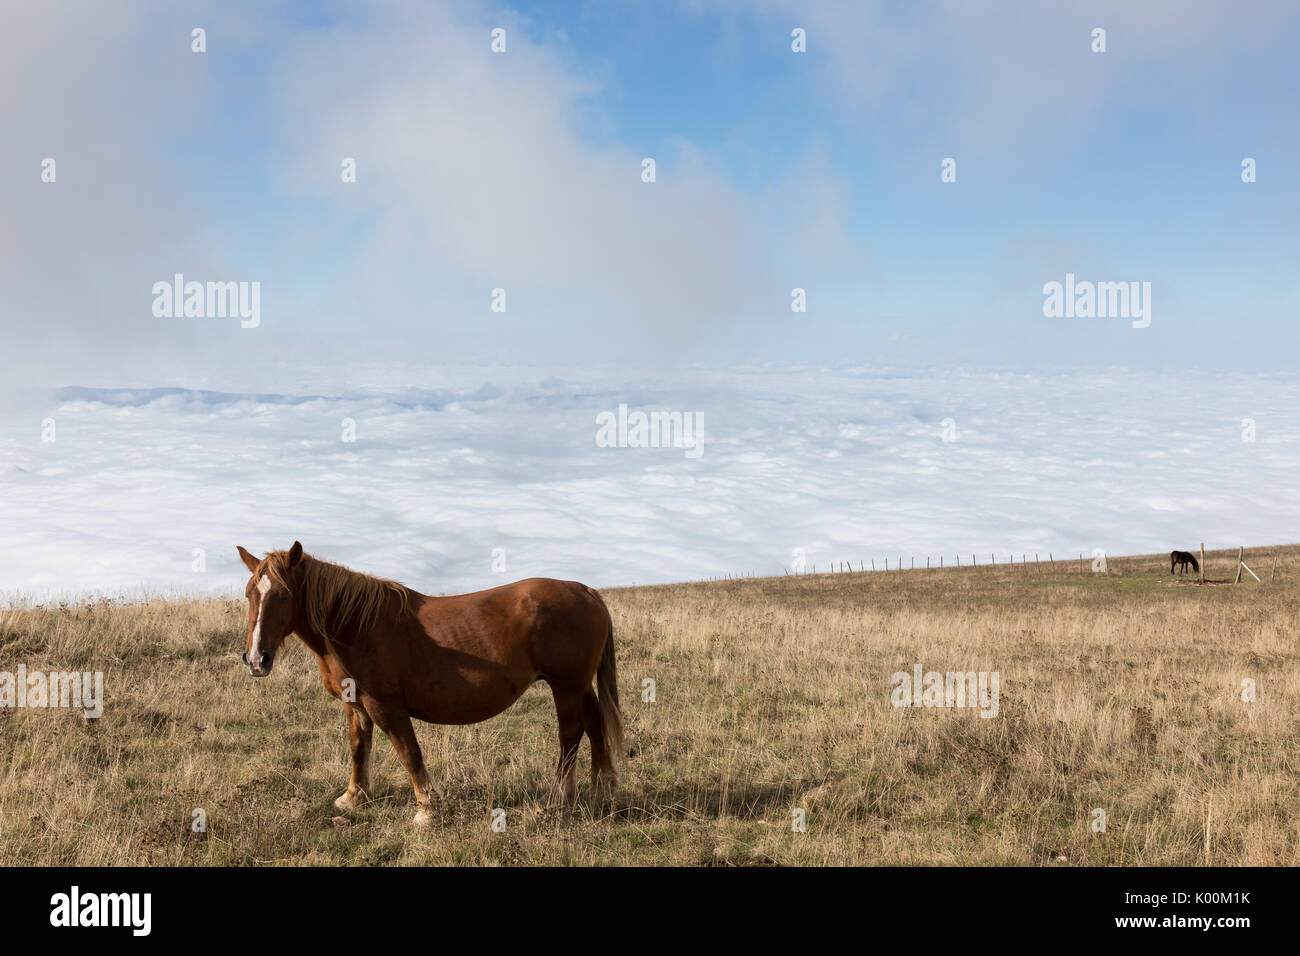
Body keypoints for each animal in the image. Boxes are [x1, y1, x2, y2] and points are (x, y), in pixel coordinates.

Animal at [236, 541, 621, 827]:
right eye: (249, 594)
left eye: (284, 596)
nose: (256, 660)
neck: (355, 626)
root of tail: (586, 591)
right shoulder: (354, 704)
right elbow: (359, 748)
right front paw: (353, 797)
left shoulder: (385, 705)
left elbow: (409, 752)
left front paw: (427, 808)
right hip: (579, 685)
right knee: (594, 723)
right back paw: (601, 790)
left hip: (565, 686)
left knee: (570, 734)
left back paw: (555, 798)